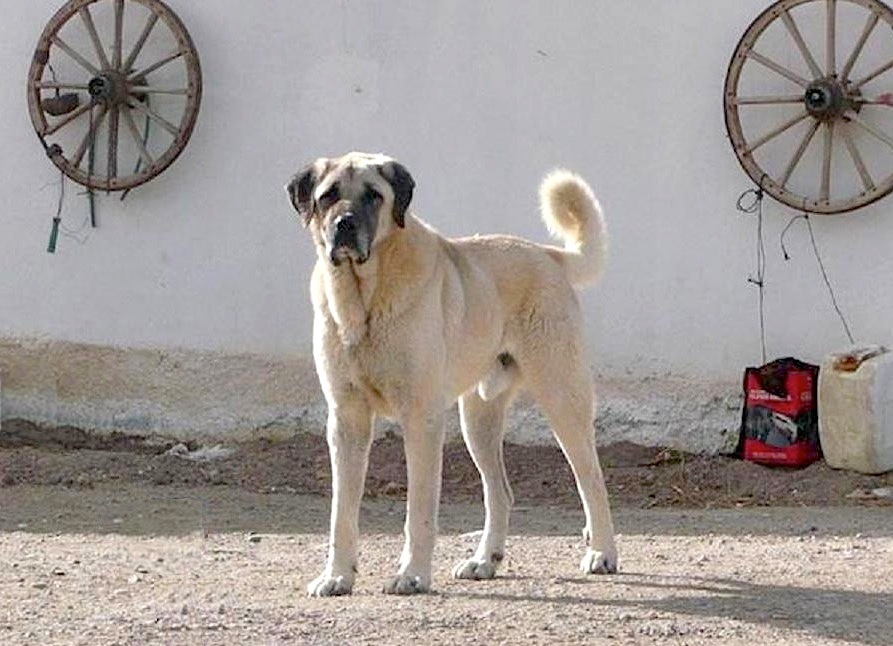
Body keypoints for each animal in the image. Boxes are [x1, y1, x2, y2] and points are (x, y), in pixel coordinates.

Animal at [286, 152, 612, 596]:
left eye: (373, 196)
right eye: (328, 196)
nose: (345, 225)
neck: (363, 300)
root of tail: (548, 255)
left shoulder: (421, 419)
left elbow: (419, 510)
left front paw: (412, 574)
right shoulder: (346, 422)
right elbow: (341, 515)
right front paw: (337, 575)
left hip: (563, 400)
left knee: (592, 480)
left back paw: (603, 553)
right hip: (478, 420)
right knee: (501, 492)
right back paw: (485, 560)